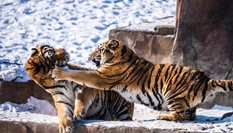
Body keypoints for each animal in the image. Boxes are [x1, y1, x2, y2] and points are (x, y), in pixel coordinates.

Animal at [52, 39, 233, 121]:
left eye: (98, 50)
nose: (89, 56)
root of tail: (206, 79)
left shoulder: (101, 77)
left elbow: (80, 74)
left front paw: (59, 72)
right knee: (189, 115)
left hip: (172, 93)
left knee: (180, 116)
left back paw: (162, 116)